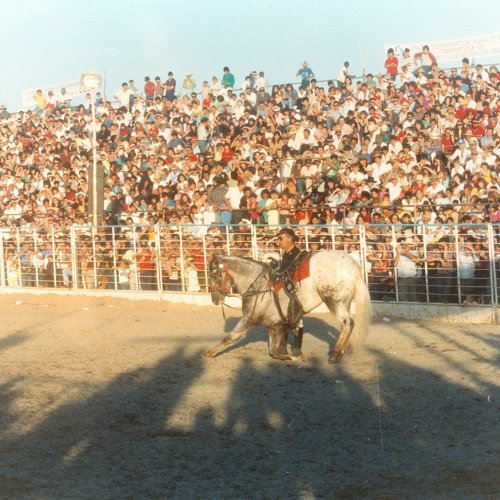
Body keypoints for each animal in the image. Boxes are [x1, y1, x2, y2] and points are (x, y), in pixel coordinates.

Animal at [205, 250, 374, 364]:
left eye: (215, 275)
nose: (214, 299)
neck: (258, 284)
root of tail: (352, 265)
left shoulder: (248, 319)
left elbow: (231, 337)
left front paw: (210, 353)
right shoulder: (275, 325)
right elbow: (274, 351)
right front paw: (292, 355)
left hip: (333, 302)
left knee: (348, 323)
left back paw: (335, 354)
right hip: (345, 301)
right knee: (345, 326)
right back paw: (341, 351)